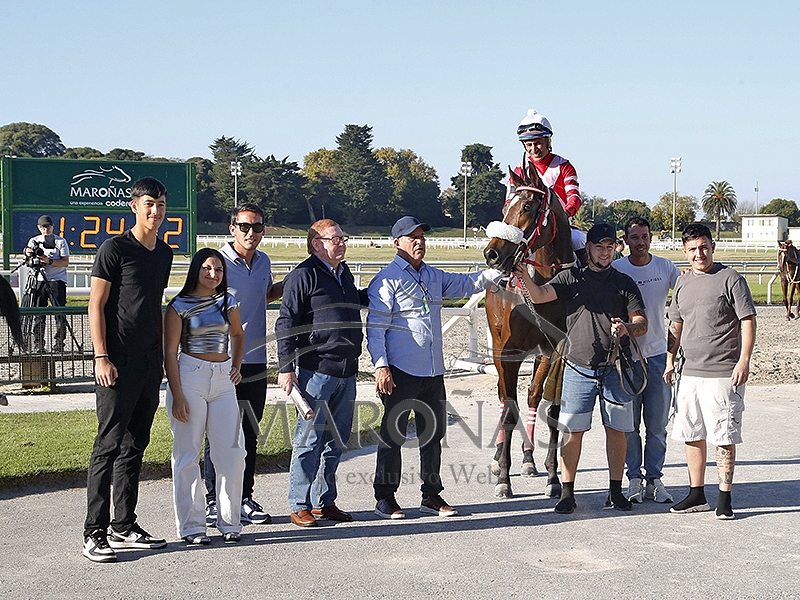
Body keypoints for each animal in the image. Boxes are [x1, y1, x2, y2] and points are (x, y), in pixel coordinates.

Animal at [482, 161, 575, 499]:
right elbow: (509, 410)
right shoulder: (507, 352)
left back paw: (528, 457)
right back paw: (499, 457)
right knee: (503, 398)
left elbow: (551, 408)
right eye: (504, 206)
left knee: (533, 397)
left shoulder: (555, 349)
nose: (492, 253)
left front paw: (553, 476)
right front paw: (503, 478)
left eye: (527, 206)